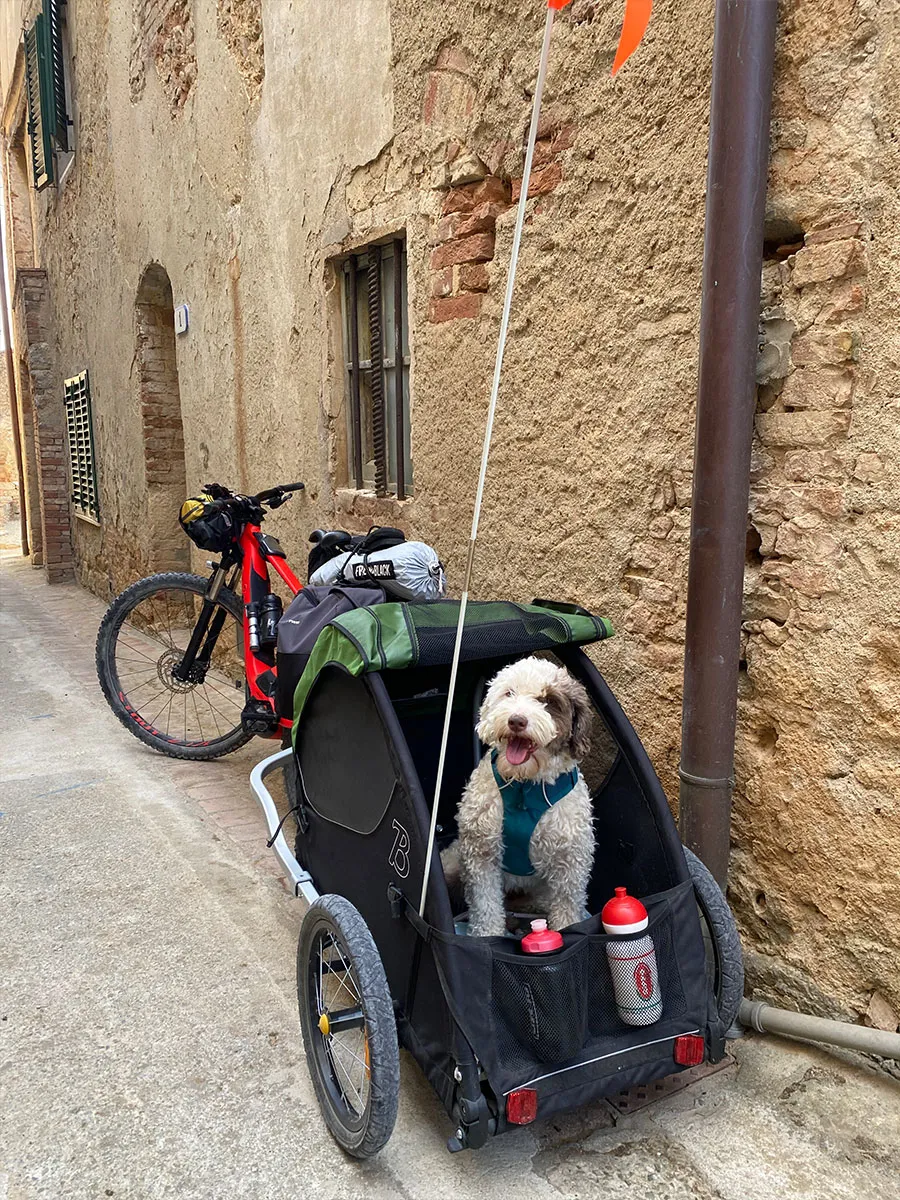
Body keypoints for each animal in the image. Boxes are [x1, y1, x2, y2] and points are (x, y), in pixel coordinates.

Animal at [446, 657, 600, 936]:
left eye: (548, 701)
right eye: (509, 693)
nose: (516, 721)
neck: (524, 787)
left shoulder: (571, 860)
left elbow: (568, 905)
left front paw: (569, 930)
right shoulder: (480, 852)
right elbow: (485, 904)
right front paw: (488, 936)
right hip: (452, 862)